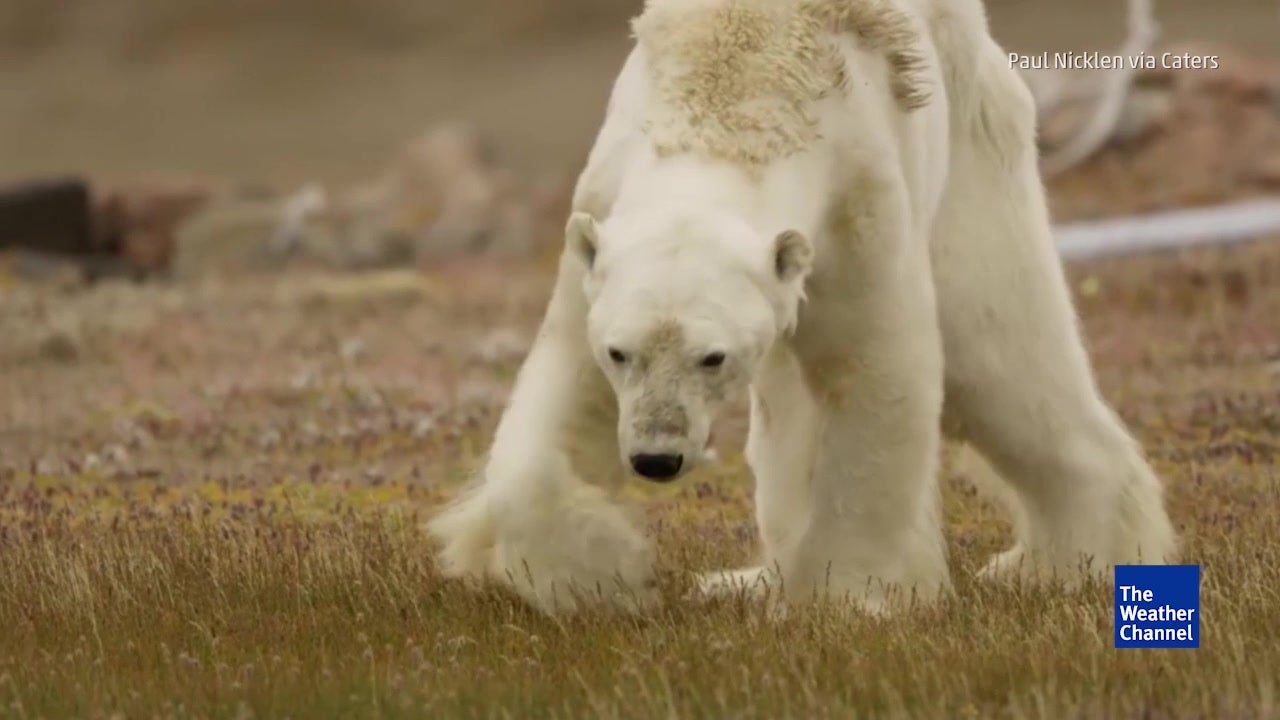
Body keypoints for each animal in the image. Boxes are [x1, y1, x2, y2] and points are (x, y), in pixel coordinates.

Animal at [427, 0, 1177, 615]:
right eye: (621, 353)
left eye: (712, 357)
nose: (655, 459)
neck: (736, 94)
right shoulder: (603, 215)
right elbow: (563, 388)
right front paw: (598, 573)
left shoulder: (859, 202)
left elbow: (875, 377)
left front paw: (851, 596)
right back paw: (747, 579)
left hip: (972, 159)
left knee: (998, 359)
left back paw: (1065, 563)